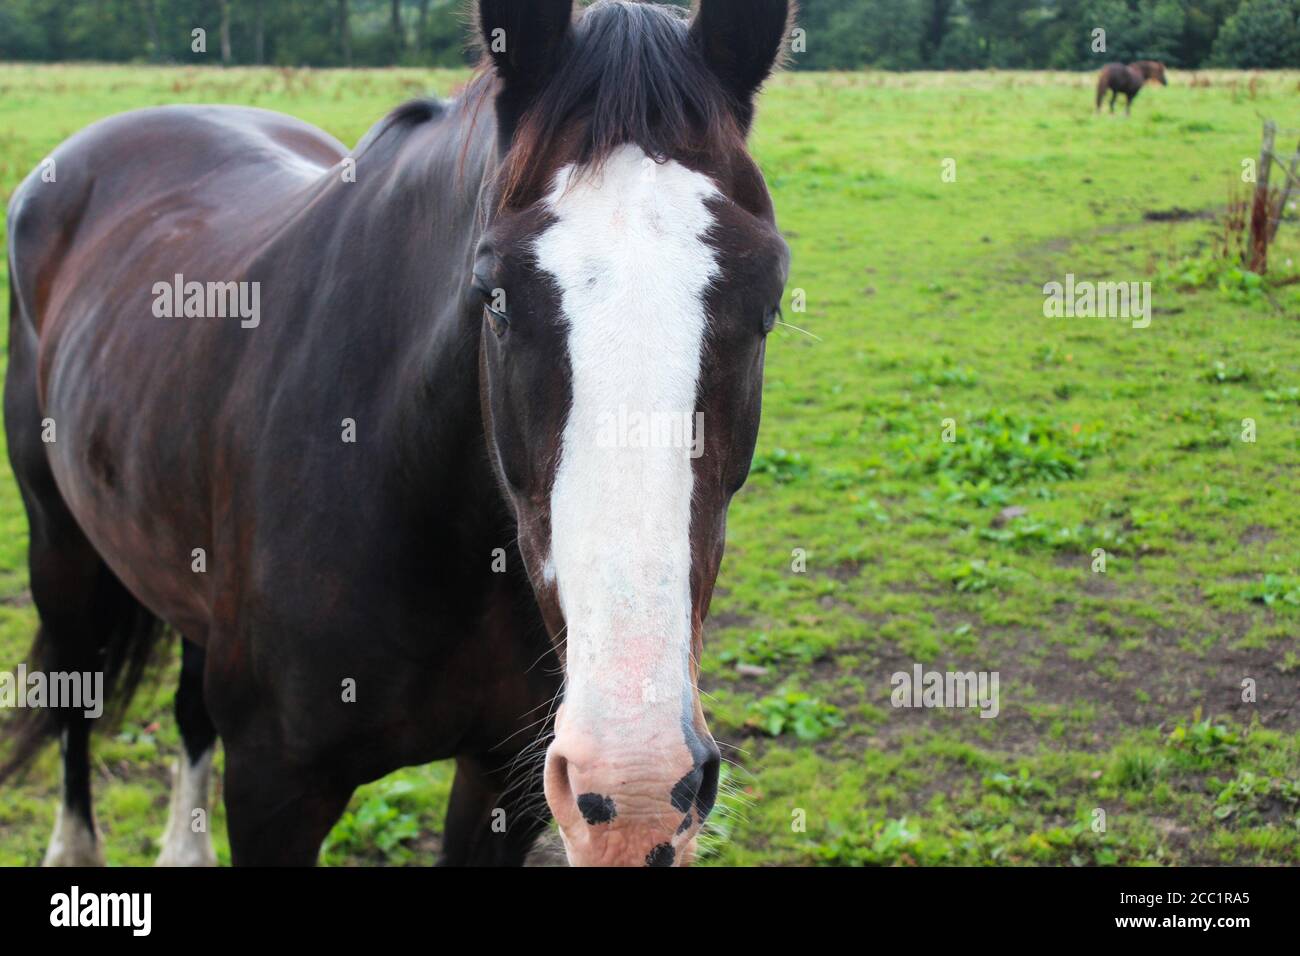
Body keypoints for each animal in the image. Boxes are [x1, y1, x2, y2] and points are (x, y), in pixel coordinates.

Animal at [2, 0, 790, 868]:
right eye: (494, 293)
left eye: (770, 300)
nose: (639, 783)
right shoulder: (273, 788)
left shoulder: (504, 784)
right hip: (60, 546)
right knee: (75, 694)